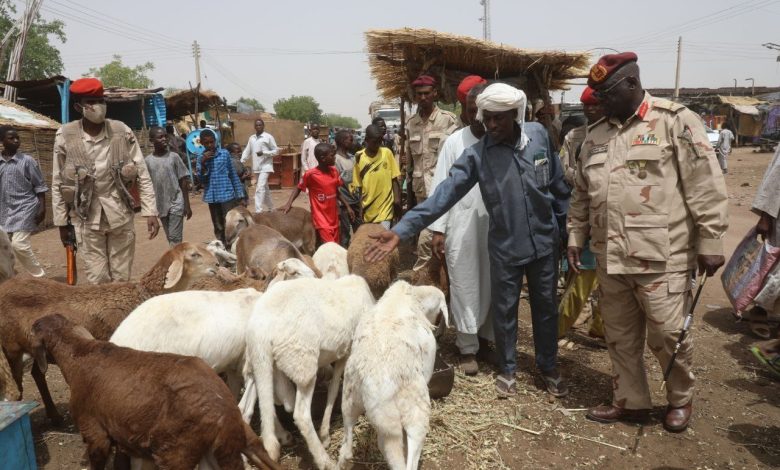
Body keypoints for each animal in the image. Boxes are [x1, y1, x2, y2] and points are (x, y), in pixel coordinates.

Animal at [0, 242, 219, 422]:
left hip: (37, 348)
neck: (141, 295)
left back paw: (54, 416)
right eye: (194, 254)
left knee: (37, 373)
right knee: (18, 383)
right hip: (11, 348)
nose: (217, 264)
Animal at [33, 312, 284, 470]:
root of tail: (226, 418)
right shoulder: (120, 432)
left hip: (176, 452)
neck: (78, 354)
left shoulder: (95, 433)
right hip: (235, 441)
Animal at [244, 276, 378, 470]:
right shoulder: (347, 353)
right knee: (300, 414)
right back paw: (324, 460)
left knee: (268, 401)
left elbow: (333, 388)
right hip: (303, 363)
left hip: (261, 362)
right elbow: (335, 389)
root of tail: (259, 331)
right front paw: (325, 435)